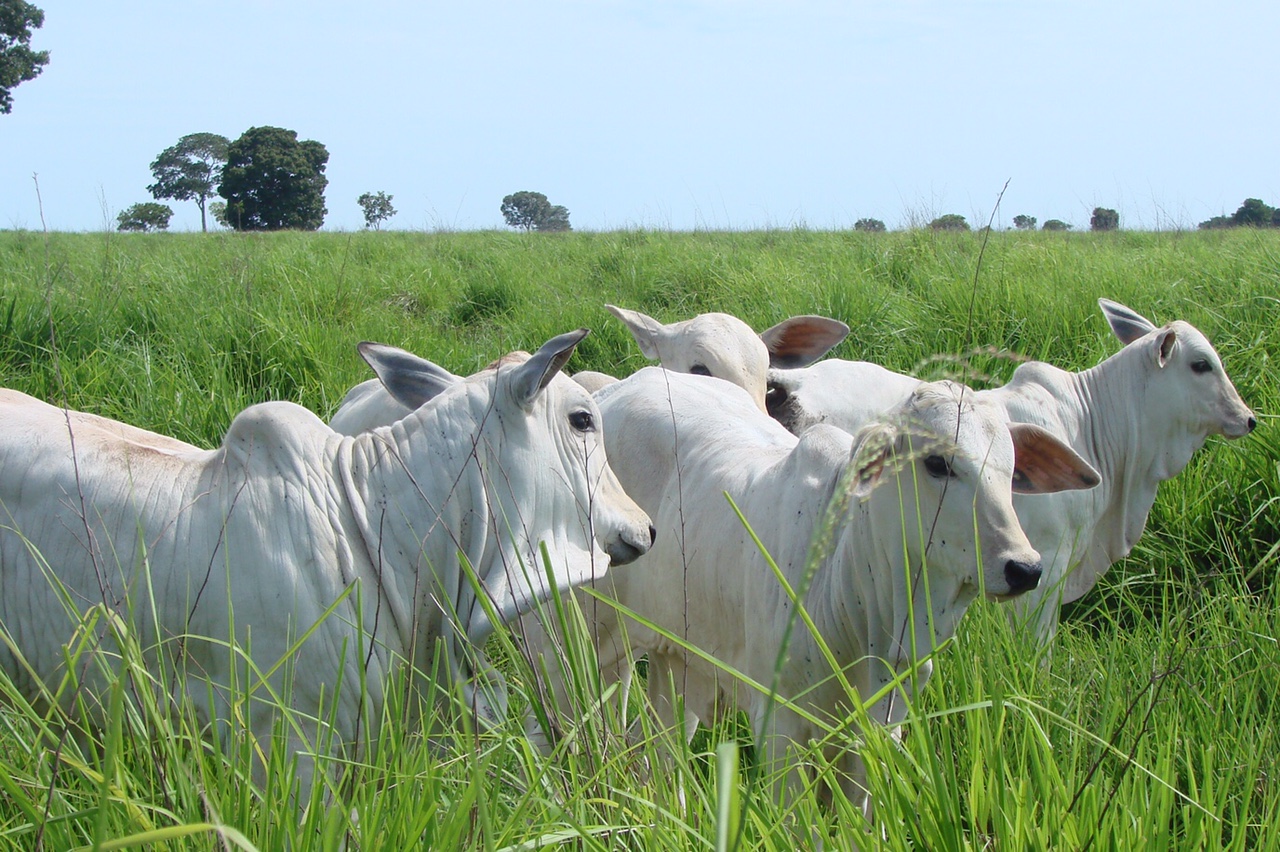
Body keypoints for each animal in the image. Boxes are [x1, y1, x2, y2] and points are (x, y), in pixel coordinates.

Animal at [540, 365, 1100, 803]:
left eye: (1011, 470)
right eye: (938, 463)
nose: (1025, 567)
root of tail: (612, 392)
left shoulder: (878, 731)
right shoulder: (779, 729)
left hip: (676, 656)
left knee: (659, 746)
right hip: (580, 641)